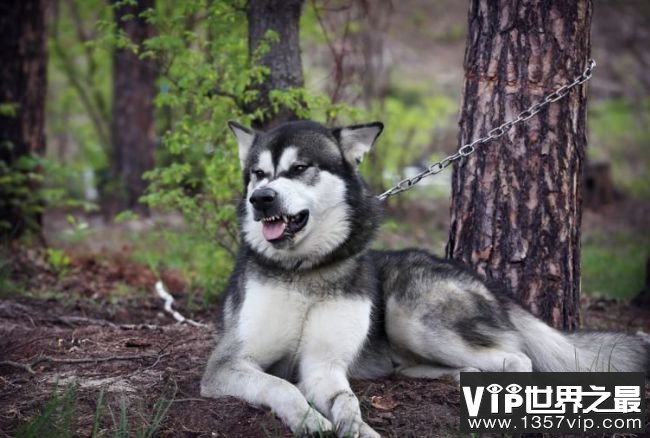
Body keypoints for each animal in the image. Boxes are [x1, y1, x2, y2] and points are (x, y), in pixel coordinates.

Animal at [200, 120, 644, 438]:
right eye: (258, 173)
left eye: (299, 169)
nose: (261, 200)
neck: (306, 270)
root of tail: (485, 284)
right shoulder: (229, 364)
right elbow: (282, 387)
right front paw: (310, 420)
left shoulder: (323, 364)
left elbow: (347, 402)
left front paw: (357, 428)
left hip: (408, 313)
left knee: (518, 359)